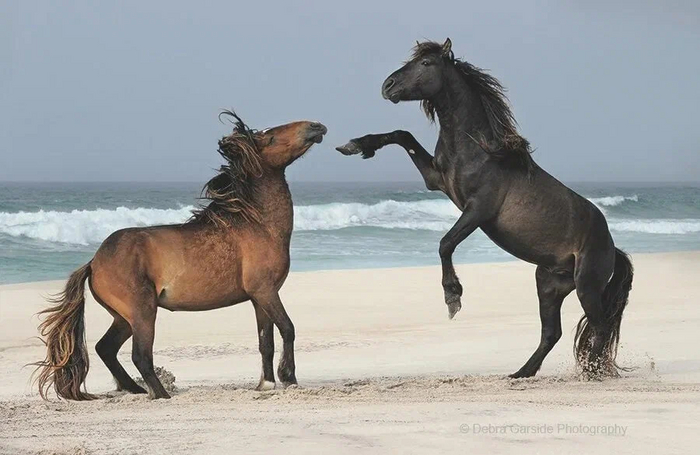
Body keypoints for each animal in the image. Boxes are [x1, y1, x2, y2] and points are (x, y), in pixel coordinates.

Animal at [34, 112, 327, 399]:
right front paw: (288, 377)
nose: (316, 126)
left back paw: (136, 389)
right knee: (140, 355)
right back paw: (161, 394)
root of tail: (94, 263)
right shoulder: (265, 291)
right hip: (143, 312)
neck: (257, 224)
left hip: (123, 319)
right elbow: (288, 329)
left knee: (105, 349)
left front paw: (265, 384)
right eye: (270, 137)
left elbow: (266, 342)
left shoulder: (258, 298)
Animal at [336, 39, 633, 379]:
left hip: (587, 285)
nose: (388, 86)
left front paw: (452, 297)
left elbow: (445, 243)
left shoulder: (478, 210)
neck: (476, 149)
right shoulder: (436, 180)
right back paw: (521, 373)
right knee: (553, 332)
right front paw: (356, 146)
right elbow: (402, 135)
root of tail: (613, 247)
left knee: (600, 326)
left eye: (426, 63)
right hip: (548, 284)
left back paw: (591, 373)